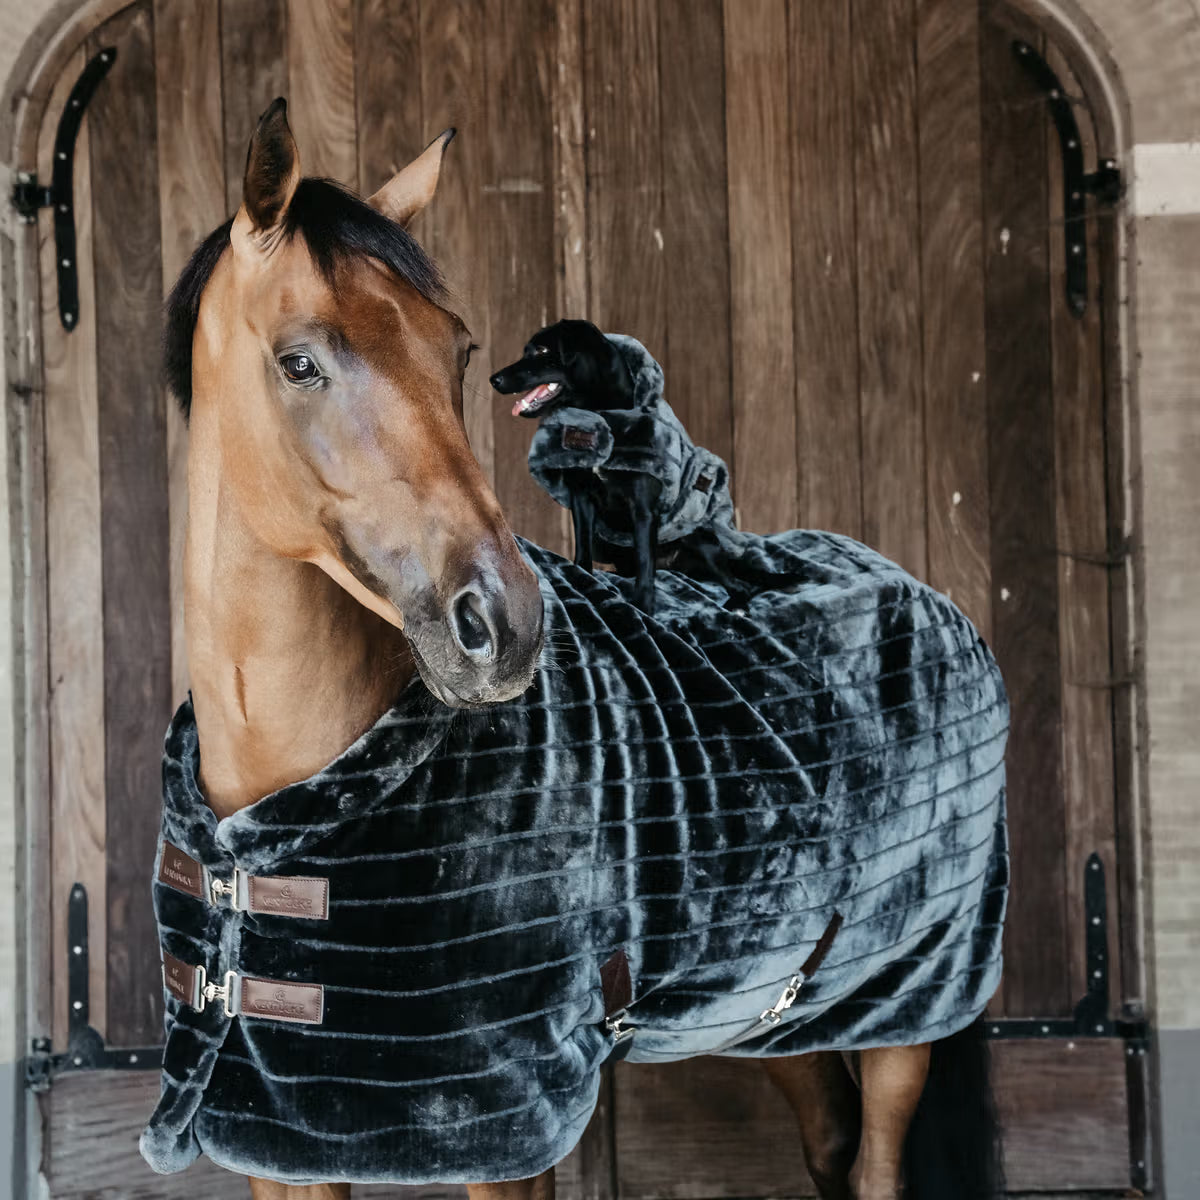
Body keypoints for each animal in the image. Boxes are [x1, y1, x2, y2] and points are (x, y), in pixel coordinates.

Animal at [144, 98, 1005, 1200]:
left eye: (458, 350)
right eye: (299, 361)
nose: (501, 622)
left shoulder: (504, 1129)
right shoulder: (272, 1134)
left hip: (906, 1007)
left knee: (876, 1166)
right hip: (773, 1010)